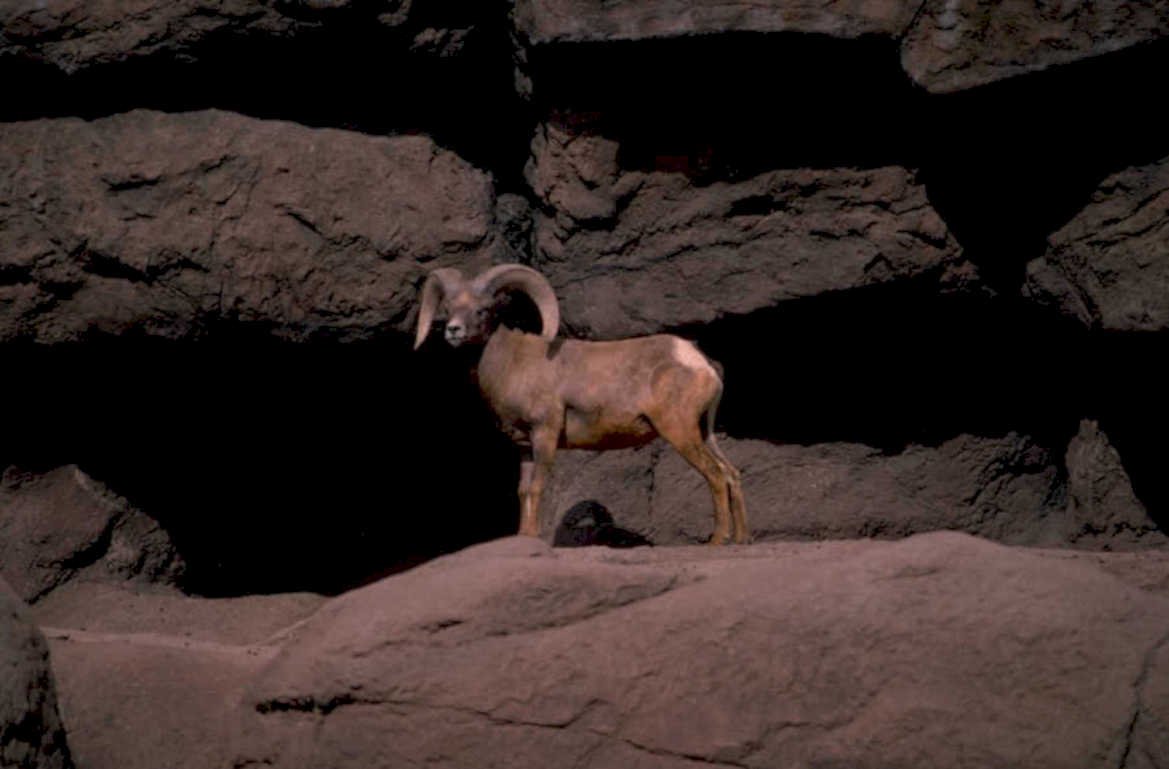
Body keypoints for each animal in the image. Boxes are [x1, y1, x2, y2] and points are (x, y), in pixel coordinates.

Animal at [414, 263, 748, 544]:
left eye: (482, 310)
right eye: (448, 309)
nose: (453, 330)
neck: (513, 363)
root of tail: (700, 362)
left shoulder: (545, 434)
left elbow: (537, 487)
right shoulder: (524, 447)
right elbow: (523, 491)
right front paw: (523, 536)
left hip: (680, 431)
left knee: (715, 475)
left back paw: (718, 541)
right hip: (703, 432)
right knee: (731, 473)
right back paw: (741, 539)